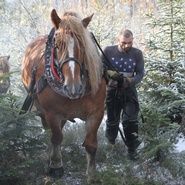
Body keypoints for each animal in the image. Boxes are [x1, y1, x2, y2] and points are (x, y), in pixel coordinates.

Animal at [21, 9, 106, 181]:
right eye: (57, 45)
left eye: (83, 45)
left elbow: (91, 144)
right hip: (40, 109)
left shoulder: (97, 113)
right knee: (50, 131)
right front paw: (56, 165)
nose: (73, 86)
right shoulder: (52, 113)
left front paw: (91, 174)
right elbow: (56, 138)